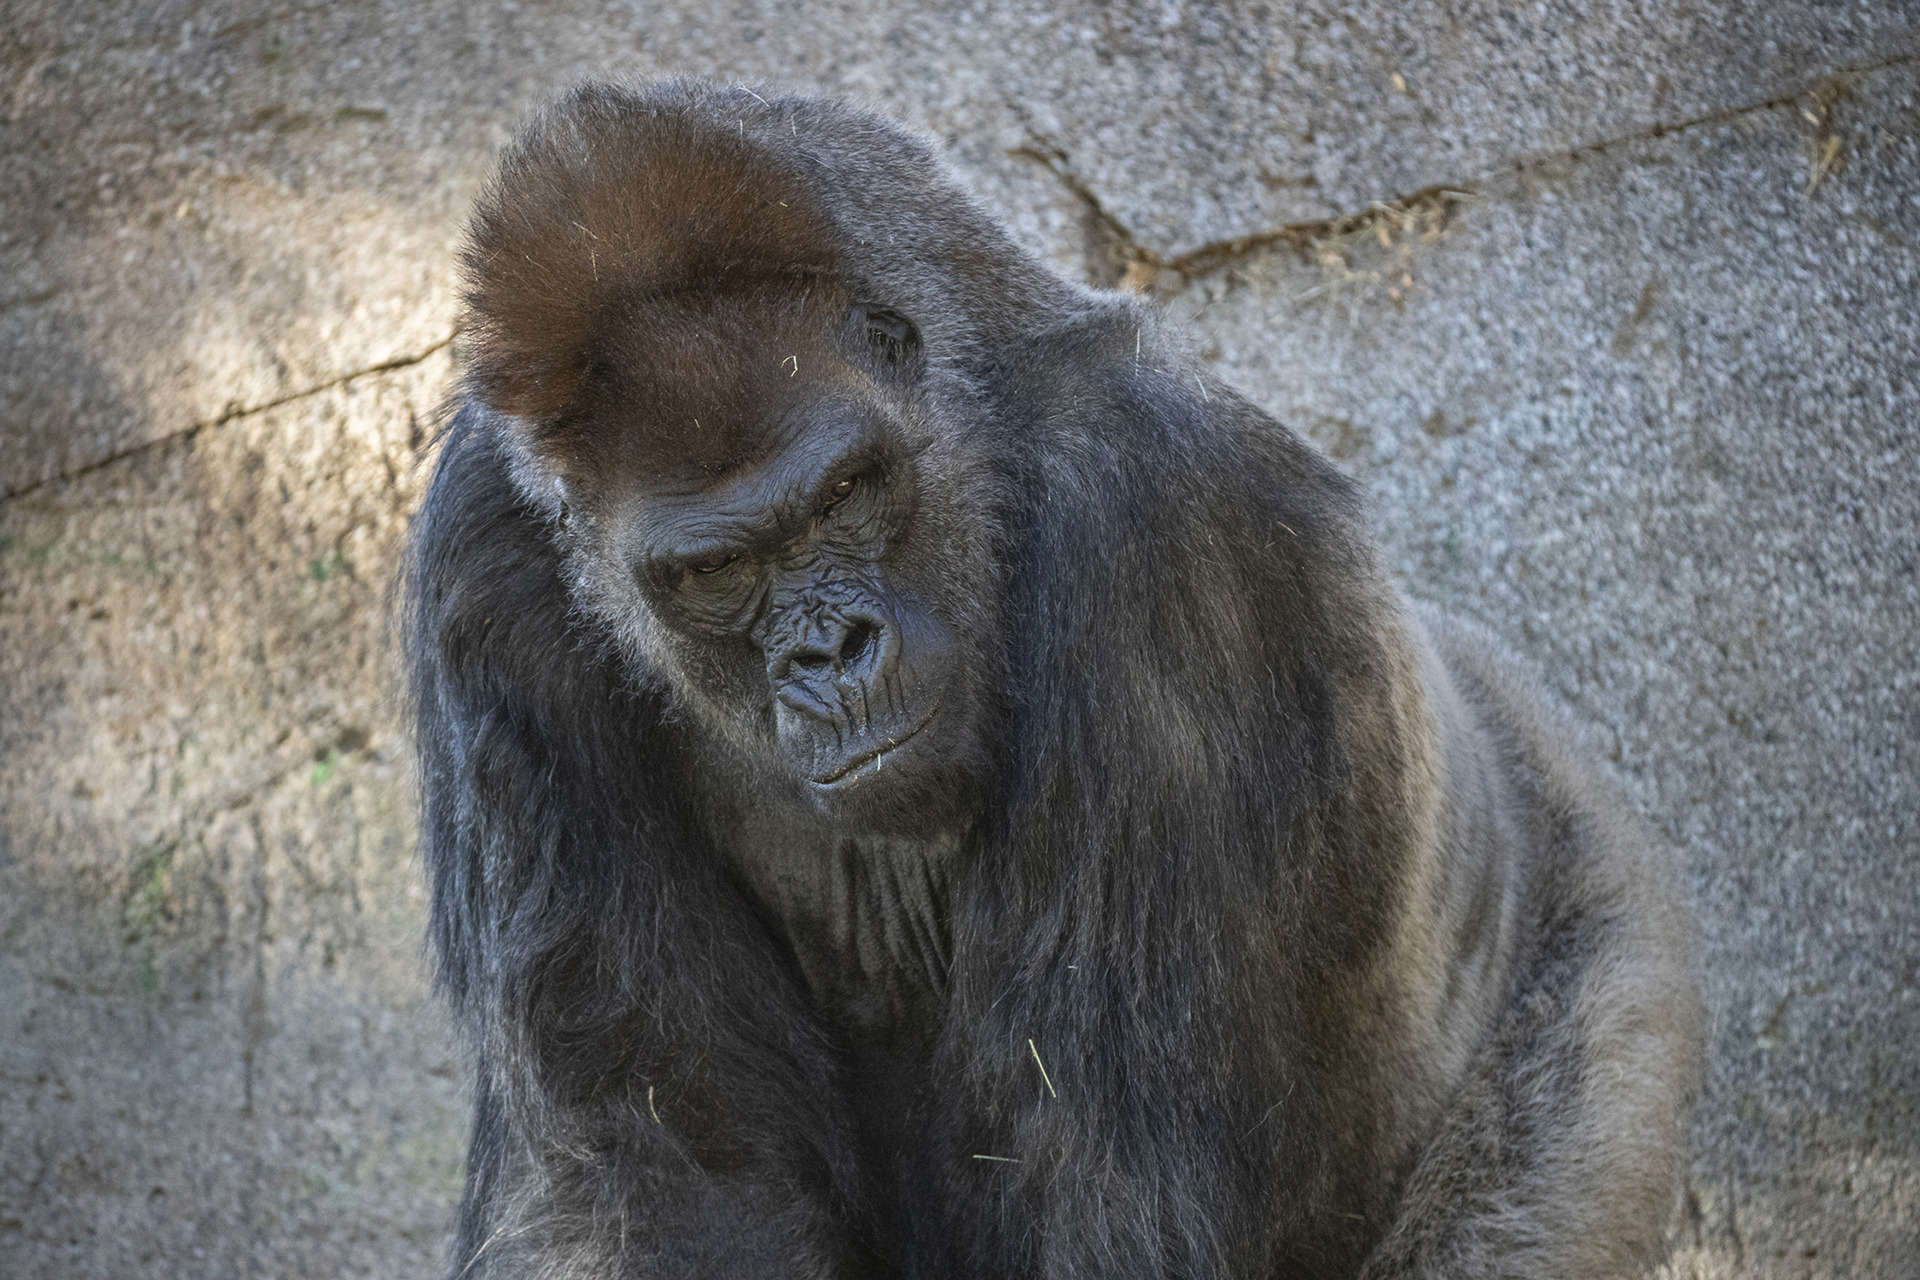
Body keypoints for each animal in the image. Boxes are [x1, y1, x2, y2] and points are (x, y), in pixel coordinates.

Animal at [412, 82, 1704, 1280]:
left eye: (847, 493)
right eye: (718, 568)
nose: (831, 653)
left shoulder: (1157, 506)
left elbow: (1108, 1182)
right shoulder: (486, 559)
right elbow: (658, 1164)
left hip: (1599, 973)